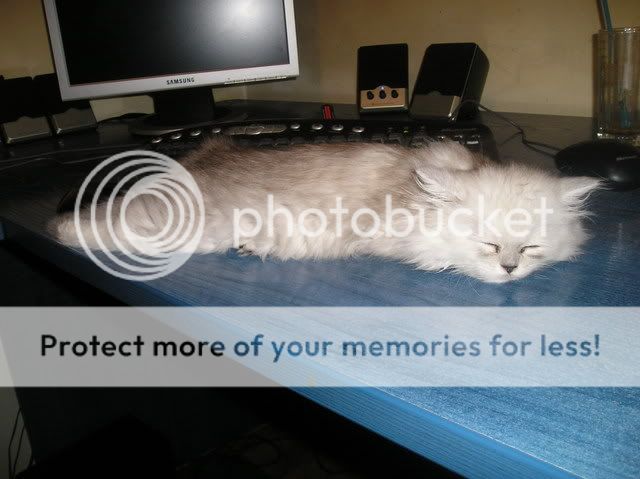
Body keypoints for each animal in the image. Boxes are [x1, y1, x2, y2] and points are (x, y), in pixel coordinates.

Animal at [52, 138, 600, 283]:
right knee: (90, 222)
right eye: (490, 244)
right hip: (187, 222)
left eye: (530, 248)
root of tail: (208, 148)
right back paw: (63, 231)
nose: (509, 270)